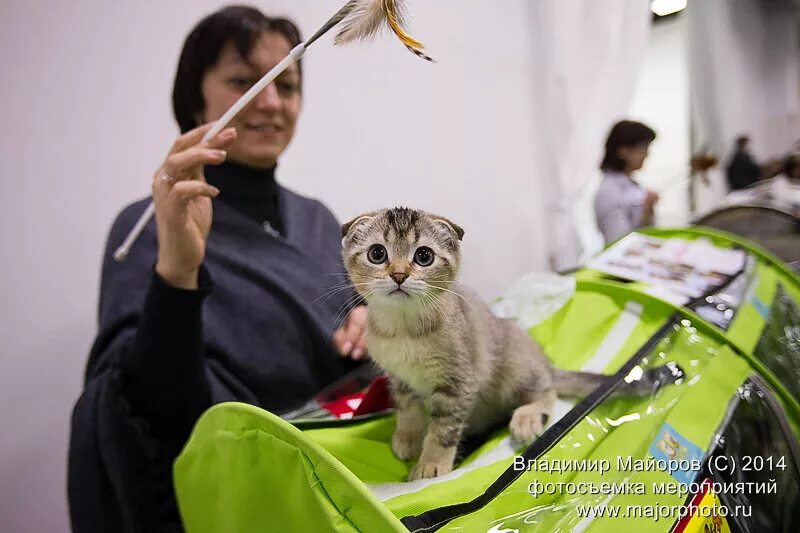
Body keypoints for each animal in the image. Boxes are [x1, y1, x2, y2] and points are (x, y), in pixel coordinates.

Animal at [340, 207, 616, 478]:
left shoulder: (458, 382)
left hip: (516, 368)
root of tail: (545, 365)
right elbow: (408, 410)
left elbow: (443, 430)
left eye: (424, 256)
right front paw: (407, 438)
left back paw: (527, 416)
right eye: (377, 253)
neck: (403, 329)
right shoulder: (400, 379)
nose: (398, 275)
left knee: (548, 390)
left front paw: (431, 465)